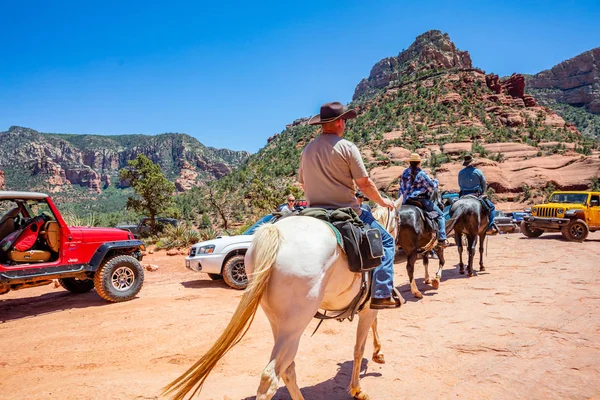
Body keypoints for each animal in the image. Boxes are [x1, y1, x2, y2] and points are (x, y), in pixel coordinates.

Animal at [163, 203, 404, 400]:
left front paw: (378, 354)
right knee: (270, 377)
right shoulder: (369, 308)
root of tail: (275, 231)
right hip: (295, 324)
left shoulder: (366, 307)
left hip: (278, 321)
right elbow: (359, 348)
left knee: (287, 368)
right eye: (399, 221)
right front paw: (358, 387)